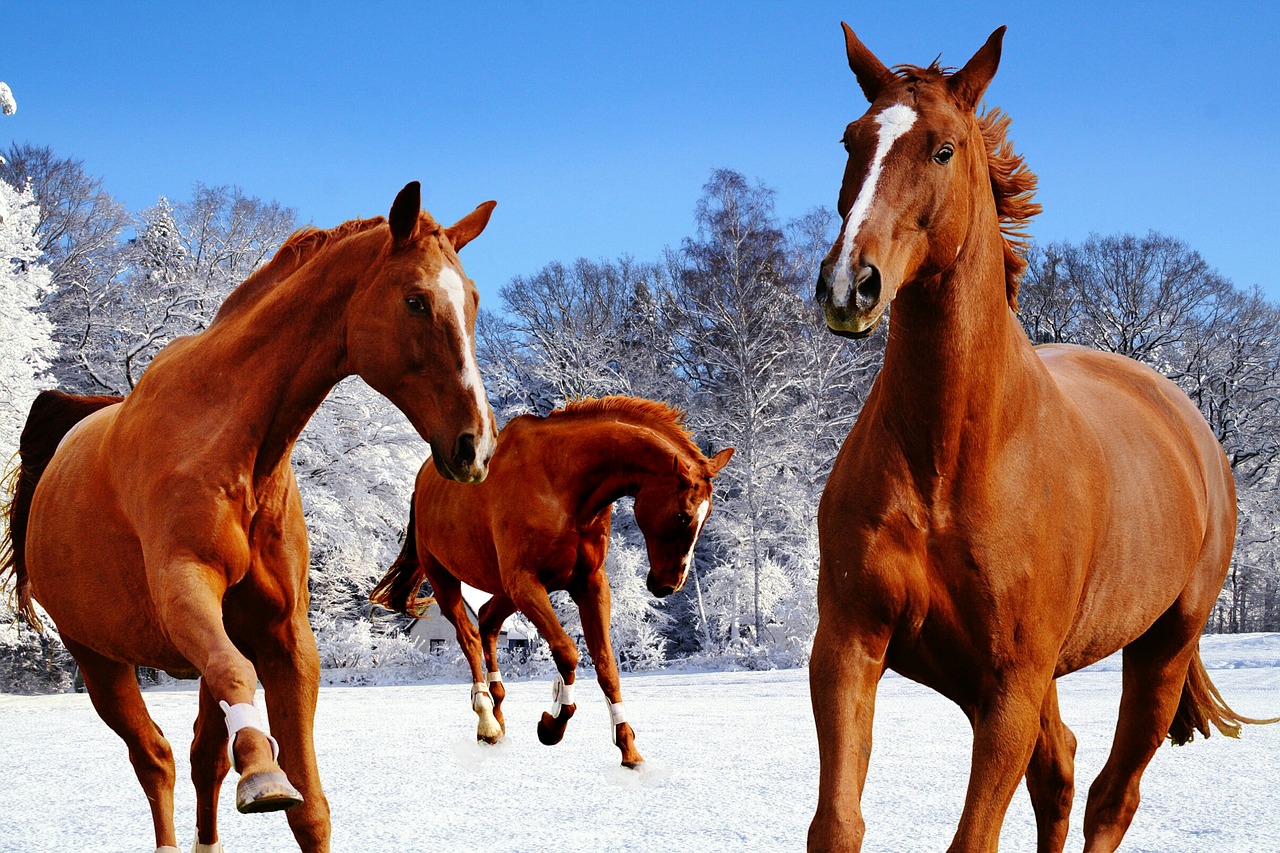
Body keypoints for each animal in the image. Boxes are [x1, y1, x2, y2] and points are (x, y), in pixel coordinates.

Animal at [1, 180, 499, 850]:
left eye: (471, 300)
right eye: (417, 301)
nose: (476, 447)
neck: (231, 439)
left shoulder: (284, 637)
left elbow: (309, 807)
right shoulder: (185, 590)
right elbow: (239, 683)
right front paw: (262, 772)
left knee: (202, 756)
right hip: (99, 660)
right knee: (155, 758)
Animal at [368, 397, 732, 763]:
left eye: (708, 515)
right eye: (683, 516)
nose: (668, 584)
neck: (561, 483)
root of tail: (423, 481)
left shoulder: (589, 585)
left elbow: (606, 665)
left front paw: (628, 748)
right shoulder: (526, 583)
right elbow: (567, 651)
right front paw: (552, 724)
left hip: (504, 591)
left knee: (487, 622)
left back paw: (498, 713)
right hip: (446, 581)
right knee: (469, 637)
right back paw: (487, 721)